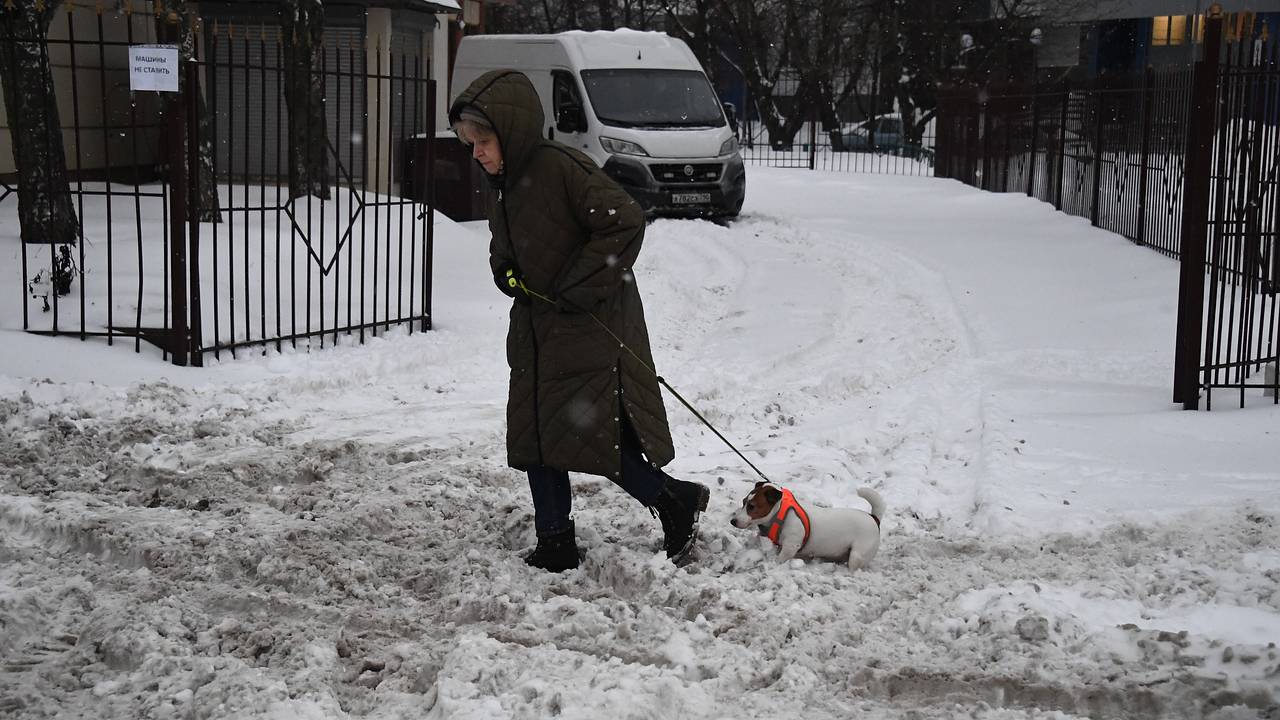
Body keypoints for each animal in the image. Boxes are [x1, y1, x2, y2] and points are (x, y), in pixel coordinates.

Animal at [732, 479, 880, 568]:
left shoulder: (791, 546)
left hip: (857, 555)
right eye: (743, 502)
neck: (779, 512)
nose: (732, 521)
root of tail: (874, 518)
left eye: (752, 506)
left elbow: (780, 559)